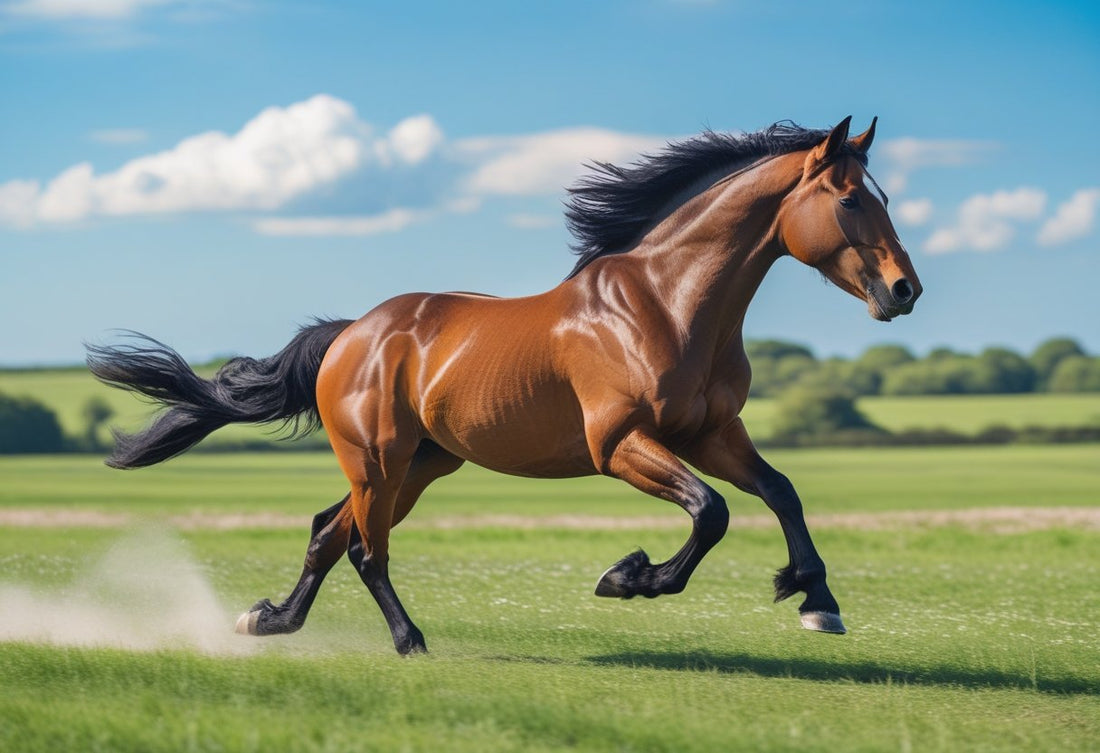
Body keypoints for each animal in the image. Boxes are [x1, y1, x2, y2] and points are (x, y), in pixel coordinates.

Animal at [87, 116, 921, 655]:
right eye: (852, 198)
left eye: (883, 196)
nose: (904, 290)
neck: (665, 304)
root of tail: (352, 332)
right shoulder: (620, 444)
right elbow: (711, 512)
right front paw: (627, 577)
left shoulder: (712, 433)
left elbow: (780, 491)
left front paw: (818, 602)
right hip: (379, 460)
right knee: (365, 548)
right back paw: (409, 640)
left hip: (421, 462)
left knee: (330, 532)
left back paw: (268, 621)